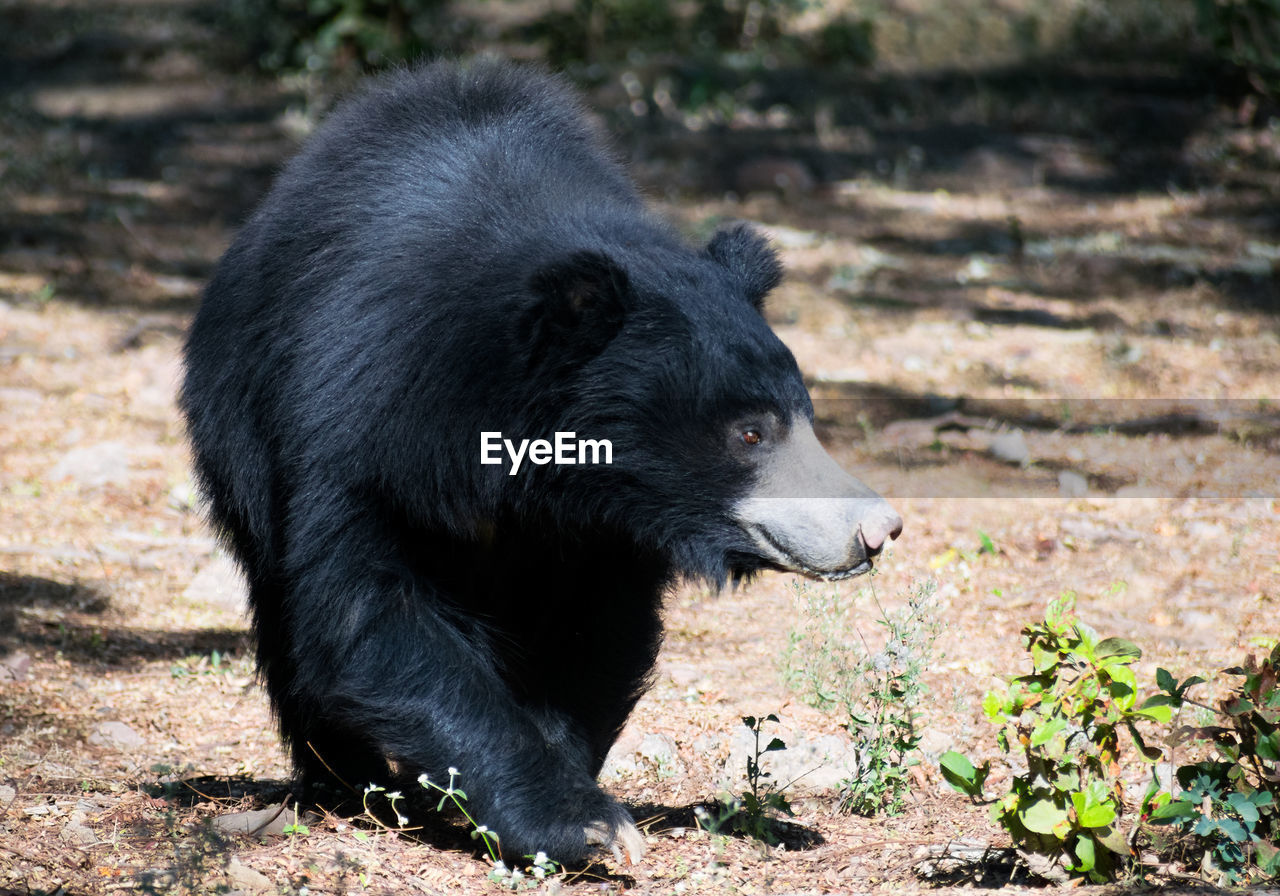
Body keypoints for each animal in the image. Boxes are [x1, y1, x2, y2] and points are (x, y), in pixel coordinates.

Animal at [180, 59, 901, 865]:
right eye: (749, 433)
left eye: (803, 416)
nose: (878, 529)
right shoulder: (355, 428)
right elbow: (370, 611)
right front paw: (583, 823)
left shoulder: (606, 530)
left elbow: (594, 633)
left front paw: (565, 794)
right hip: (238, 430)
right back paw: (350, 783)